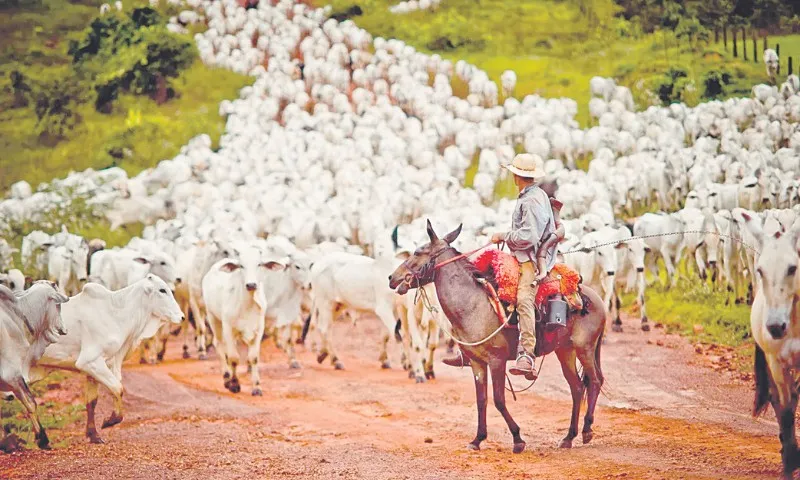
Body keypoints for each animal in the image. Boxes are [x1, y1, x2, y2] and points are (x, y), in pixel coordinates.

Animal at [31, 276, 183, 444]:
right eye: (162, 290)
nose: (182, 316)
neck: (116, 313)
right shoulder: (90, 362)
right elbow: (118, 388)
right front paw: (110, 421)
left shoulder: (93, 370)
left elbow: (92, 402)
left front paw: (94, 435)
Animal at [388, 221, 608, 454]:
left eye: (417, 252)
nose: (392, 278)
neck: (473, 305)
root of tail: (596, 298)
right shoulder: (477, 362)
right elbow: (482, 400)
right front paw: (477, 439)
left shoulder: (497, 361)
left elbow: (499, 400)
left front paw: (518, 439)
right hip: (565, 350)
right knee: (577, 388)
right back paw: (569, 437)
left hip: (585, 348)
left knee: (594, 381)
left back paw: (587, 430)